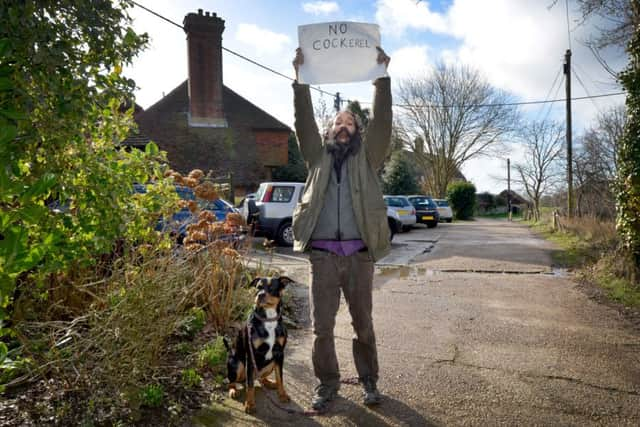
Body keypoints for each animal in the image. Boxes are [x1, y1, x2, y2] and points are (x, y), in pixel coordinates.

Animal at [222, 278, 292, 414]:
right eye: (258, 287)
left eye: (271, 288)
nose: (260, 295)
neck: (268, 319)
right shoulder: (251, 355)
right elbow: (250, 386)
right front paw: (250, 404)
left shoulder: (280, 354)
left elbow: (280, 377)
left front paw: (282, 394)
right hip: (237, 364)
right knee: (232, 381)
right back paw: (233, 390)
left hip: (271, 364)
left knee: (261, 378)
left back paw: (270, 383)